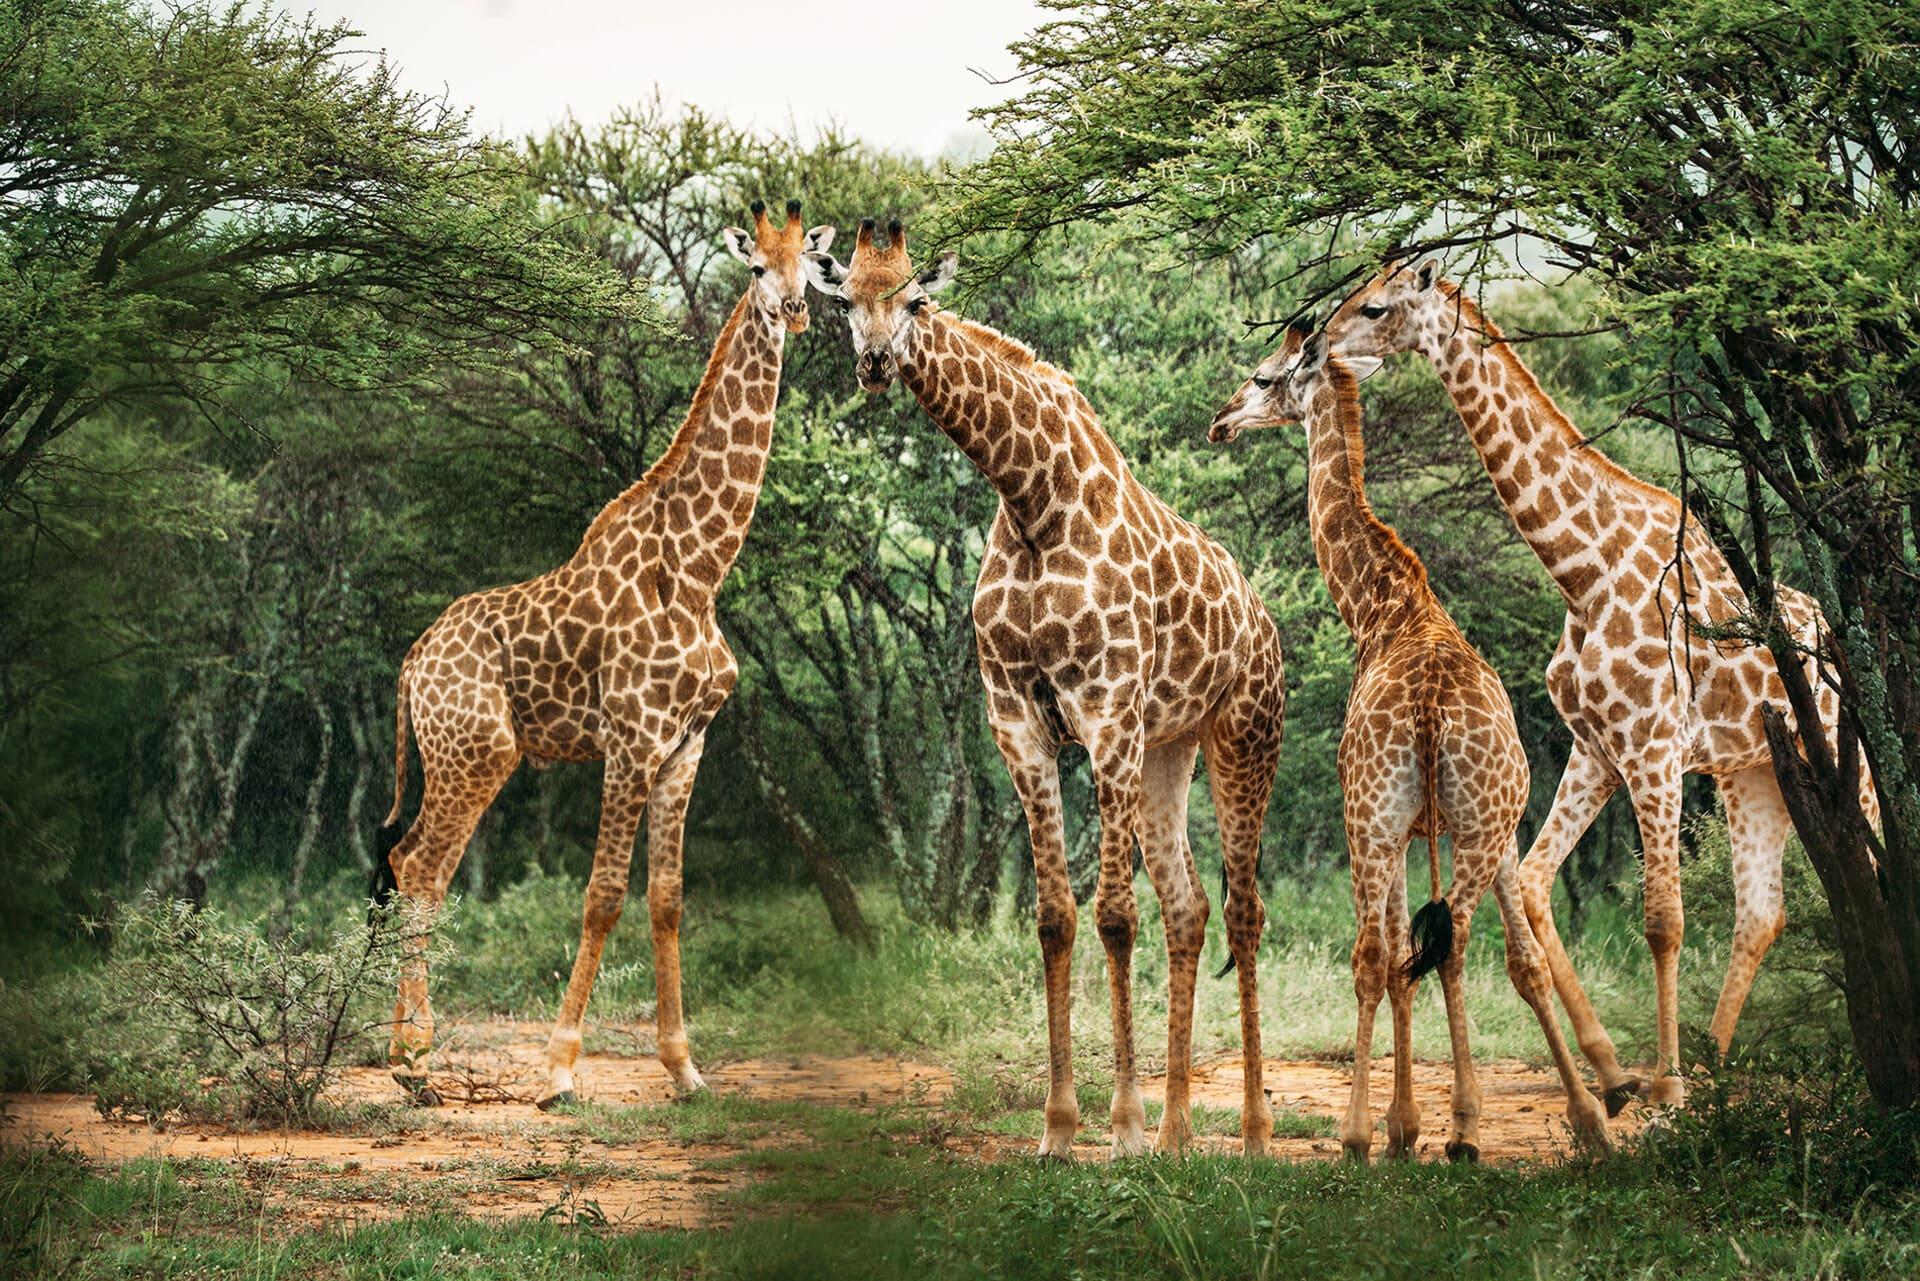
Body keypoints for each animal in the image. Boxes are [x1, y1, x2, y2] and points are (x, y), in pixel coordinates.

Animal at [371, 200, 833, 1108]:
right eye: (757, 267)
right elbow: (601, 896)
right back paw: (414, 1058)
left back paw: (411, 1052)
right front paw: (557, 1069)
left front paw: (684, 1067)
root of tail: (412, 663)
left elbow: (667, 898)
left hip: (467, 755)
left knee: (414, 866)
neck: (699, 566)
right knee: (419, 866)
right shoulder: (631, 737)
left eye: (814, 267)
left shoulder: (686, 744)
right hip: (476, 751)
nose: (794, 312)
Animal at [802, 219, 1286, 1158]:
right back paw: (1178, 1132)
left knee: (1243, 910)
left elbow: (1114, 917)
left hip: (1243, 735)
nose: (875, 363)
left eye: (916, 301)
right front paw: (1061, 1128)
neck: (1031, 500)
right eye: (848, 301)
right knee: (1190, 905)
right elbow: (1056, 916)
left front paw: (1120, 1125)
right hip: (1170, 748)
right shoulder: (1018, 721)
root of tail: (1264, 619)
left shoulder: (1106, 714)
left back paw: (1249, 1131)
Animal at [1209, 326, 1609, 1158]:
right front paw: (1434, 1122)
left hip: (1370, 819)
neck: (1384, 607)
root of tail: (1429, 712)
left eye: (1263, 376)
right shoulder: (1478, 826)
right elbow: (1487, 960)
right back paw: (1516, 1126)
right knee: (1451, 941)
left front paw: (1400, 1125)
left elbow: (1399, 956)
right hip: (1473, 823)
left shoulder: (1398, 828)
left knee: (1377, 952)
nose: (1219, 422)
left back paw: (1361, 1135)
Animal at [1325, 261, 1879, 1109]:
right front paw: (1616, 1071)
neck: (1582, 570)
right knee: (1760, 912)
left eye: (1377, 307)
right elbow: (1533, 881)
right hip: (1754, 773)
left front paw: (1667, 1088)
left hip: (1851, 770)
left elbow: (1663, 918)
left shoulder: (1652, 748)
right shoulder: (1596, 747)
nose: (1320, 344)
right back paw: (1717, 1063)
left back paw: (1710, 1072)